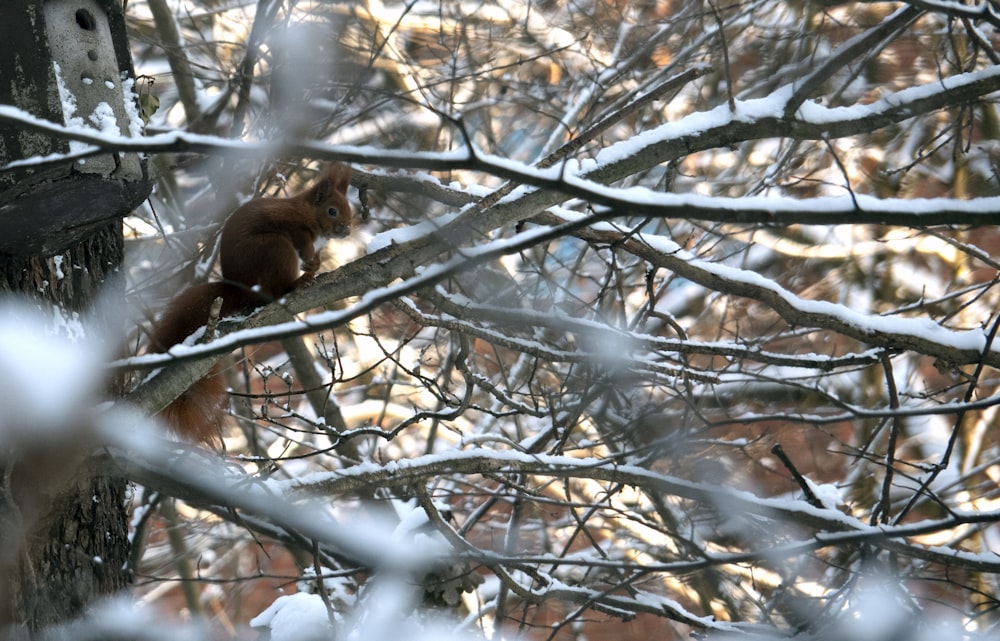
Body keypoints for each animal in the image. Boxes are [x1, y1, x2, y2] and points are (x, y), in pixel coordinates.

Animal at [148, 162, 352, 448]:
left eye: (349, 208)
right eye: (332, 210)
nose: (347, 230)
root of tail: (240, 288)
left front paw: (317, 262)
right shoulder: (293, 225)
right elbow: (303, 242)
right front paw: (311, 262)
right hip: (275, 248)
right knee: (277, 288)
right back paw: (297, 283)